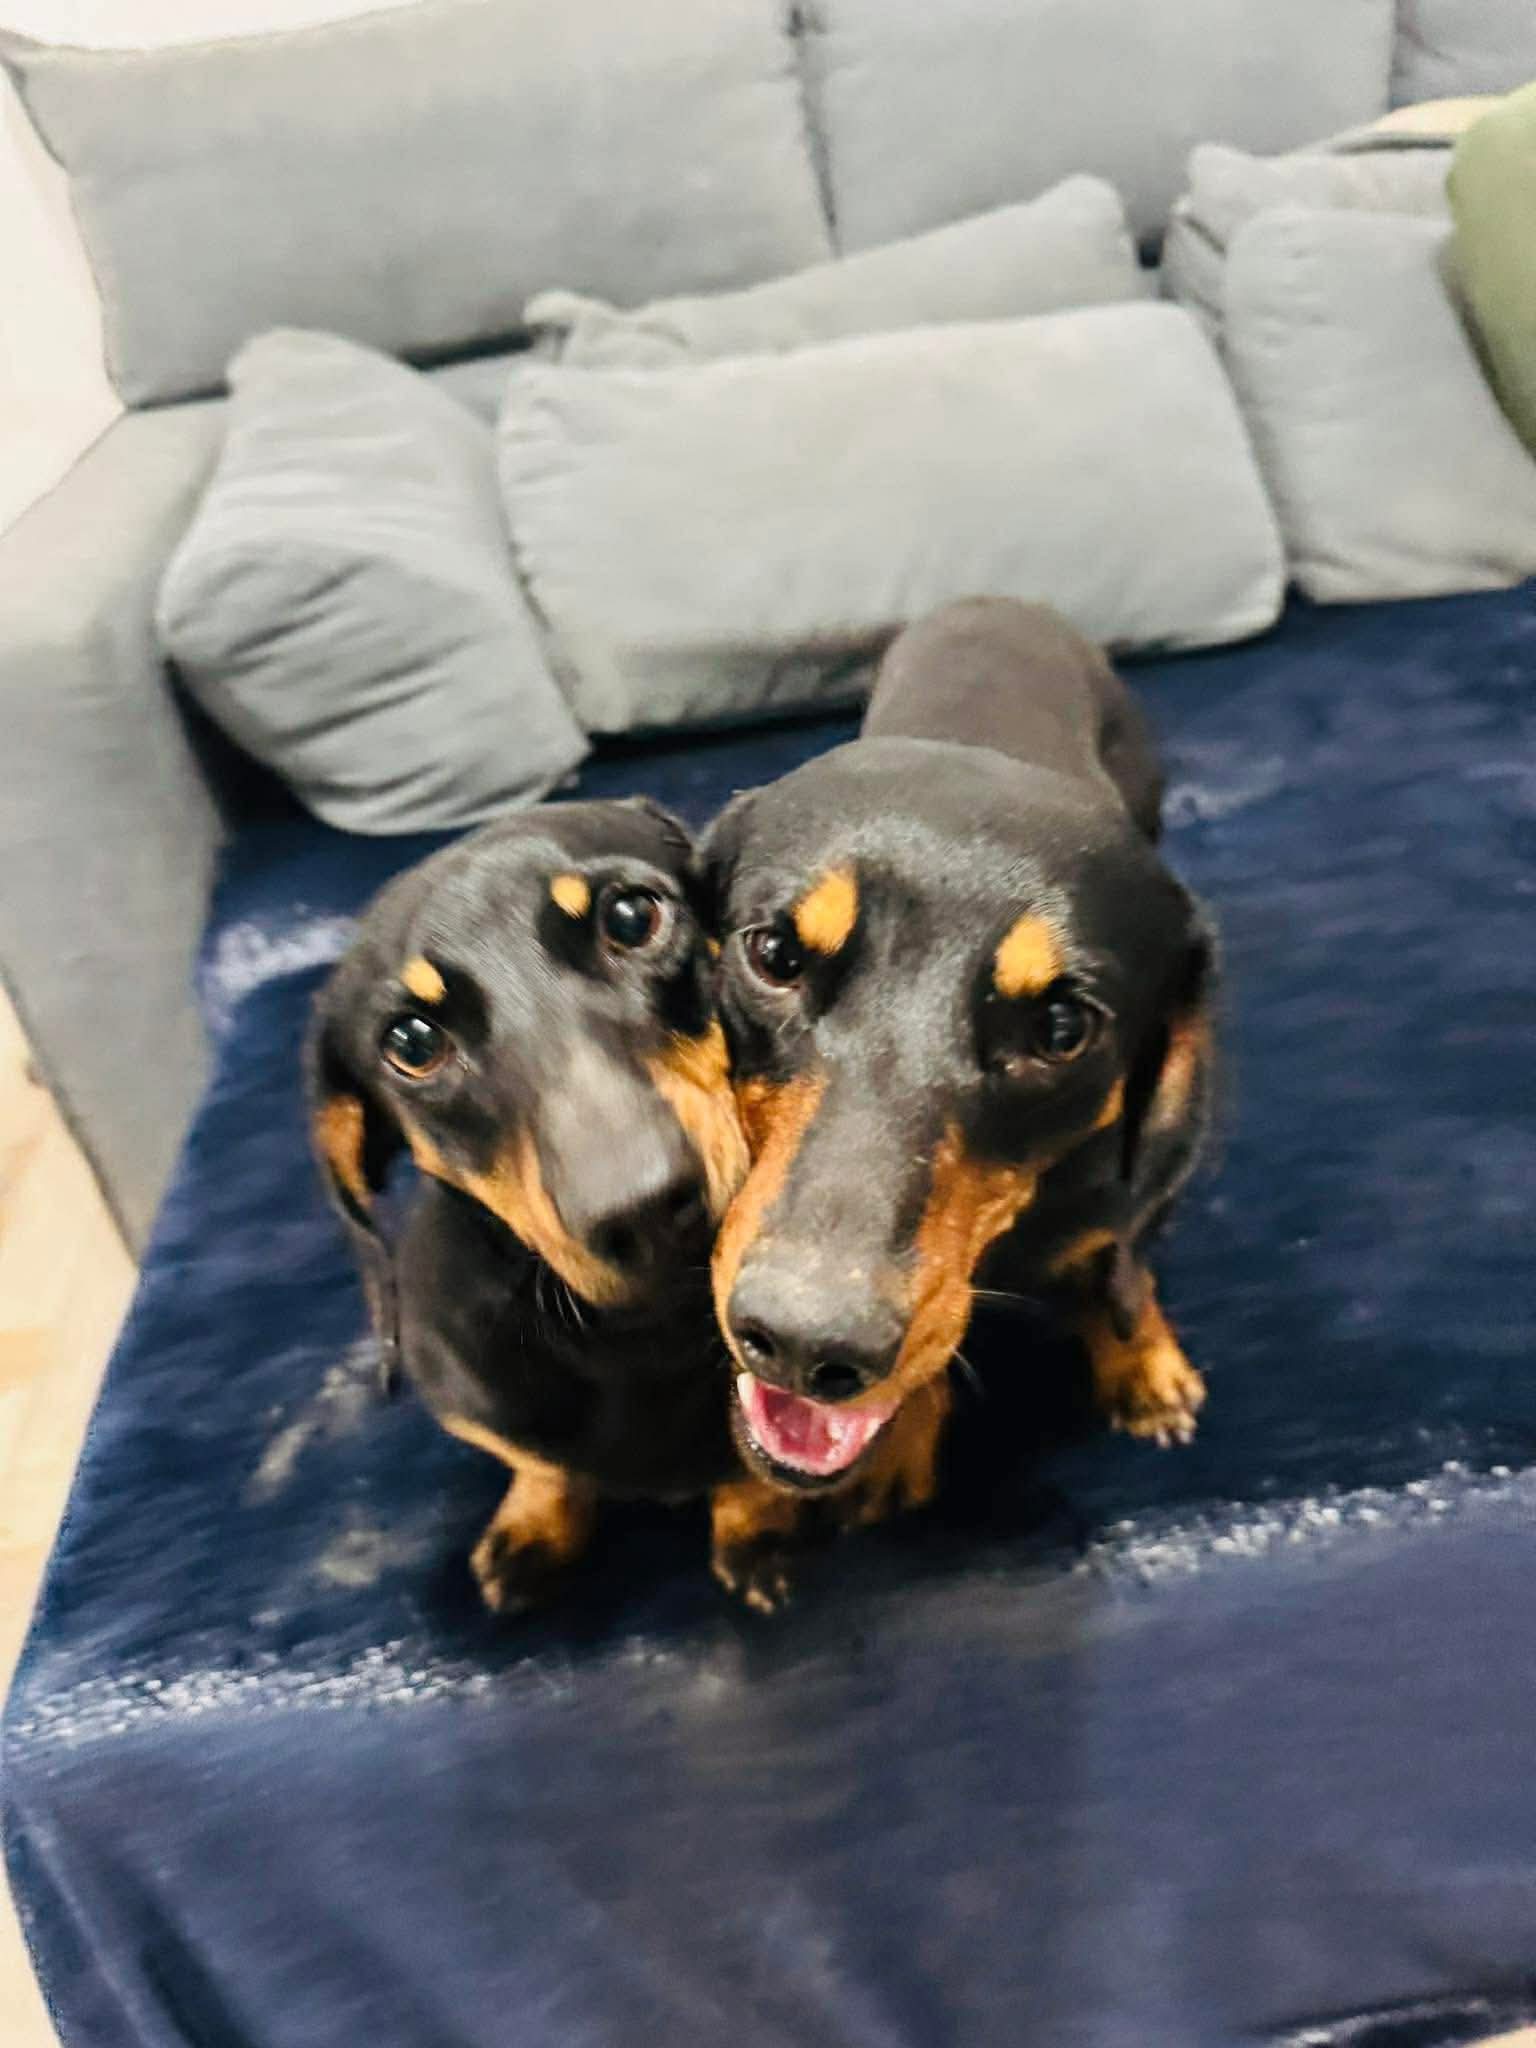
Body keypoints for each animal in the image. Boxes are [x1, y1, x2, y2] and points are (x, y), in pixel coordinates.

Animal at [308, 799, 807, 1613]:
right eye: (410, 1041)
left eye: (633, 916)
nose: (644, 1209)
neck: (642, 1341)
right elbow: (542, 1466)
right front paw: (535, 1527)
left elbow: (752, 1466)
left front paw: (757, 1530)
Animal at [704, 598, 1216, 1513]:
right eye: (775, 955)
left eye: (1061, 1028)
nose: (803, 1342)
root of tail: (998, 601)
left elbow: (1120, 1264)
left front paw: (1145, 1364)